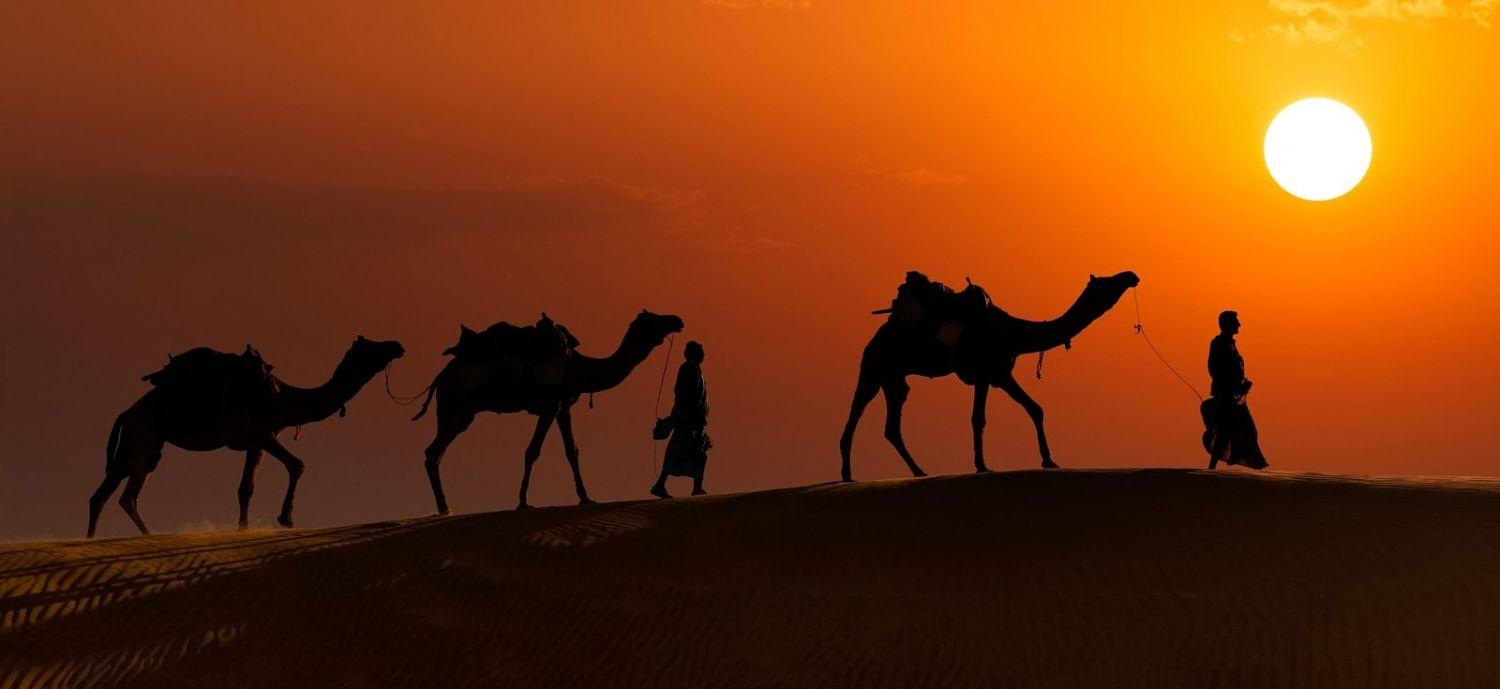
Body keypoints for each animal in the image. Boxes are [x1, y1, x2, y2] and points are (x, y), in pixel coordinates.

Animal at [87, 337, 405, 537]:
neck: (284, 399)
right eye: (371, 347)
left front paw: (243, 529)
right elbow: (297, 464)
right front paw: (286, 519)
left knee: (101, 495)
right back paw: (148, 536)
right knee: (128, 496)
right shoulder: (260, 433)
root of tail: (125, 413)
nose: (397, 346)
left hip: (130, 446)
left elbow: (245, 488)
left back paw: (93, 540)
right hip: (146, 440)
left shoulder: (256, 443)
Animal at [417, 310, 687, 516]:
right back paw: (444, 507)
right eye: (652, 319)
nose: (677, 319)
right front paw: (523, 501)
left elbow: (572, 451)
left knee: (434, 453)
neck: (579, 369)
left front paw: (585, 497)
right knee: (433, 452)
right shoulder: (549, 406)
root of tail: (441, 377)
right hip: (458, 409)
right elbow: (532, 451)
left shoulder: (563, 407)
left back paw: (444, 507)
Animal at [840, 270, 1140, 480]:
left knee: (892, 424)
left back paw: (919, 470)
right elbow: (979, 419)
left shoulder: (998, 375)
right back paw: (847, 473)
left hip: (895, 379)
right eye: (1106, 283)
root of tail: (879, 333)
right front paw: (982, 465)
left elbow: (1034, 408)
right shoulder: (987, 374)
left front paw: (1049, 460)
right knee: (857, 409)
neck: (1014, 333)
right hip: (874, 366)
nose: (1131, 275)